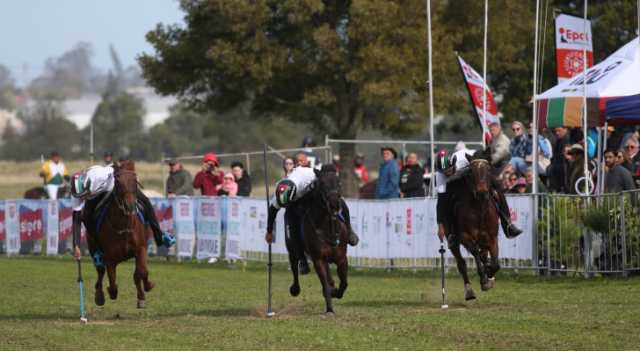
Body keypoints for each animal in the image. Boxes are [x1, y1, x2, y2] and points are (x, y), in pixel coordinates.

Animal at [88, 161, 154, 310]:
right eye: (117, 182)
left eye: (135, 181)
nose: (129, 205)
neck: (124, 226)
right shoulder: (109, 257)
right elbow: (112, 282)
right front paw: (109, 292)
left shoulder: (140, 249)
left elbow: (142, 271)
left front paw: (146, 289)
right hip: (93, 248)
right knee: (100, 271)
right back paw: (99, 295)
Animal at [288, 166, 350, 316]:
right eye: (322, 184)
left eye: (339, 183)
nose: (334, 204)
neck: (327, 227)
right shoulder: (318, 260)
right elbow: (325, 284)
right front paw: (330, 309)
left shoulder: (341, 258)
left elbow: (344, 283)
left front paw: (336, 292)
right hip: (292, 248)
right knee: (294, 266)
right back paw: (295, 288)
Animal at [444, 150, 500, 302]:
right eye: (471, 172)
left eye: (488, 170)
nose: (482, 193)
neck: (480, 210)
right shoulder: (465, 237)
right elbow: (475, 253)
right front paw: (484, 279)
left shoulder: (492, 238)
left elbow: (495, 263)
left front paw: (489, 275)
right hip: (453, 241)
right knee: (462, 263)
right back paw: (469, 291)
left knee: (483, 255)